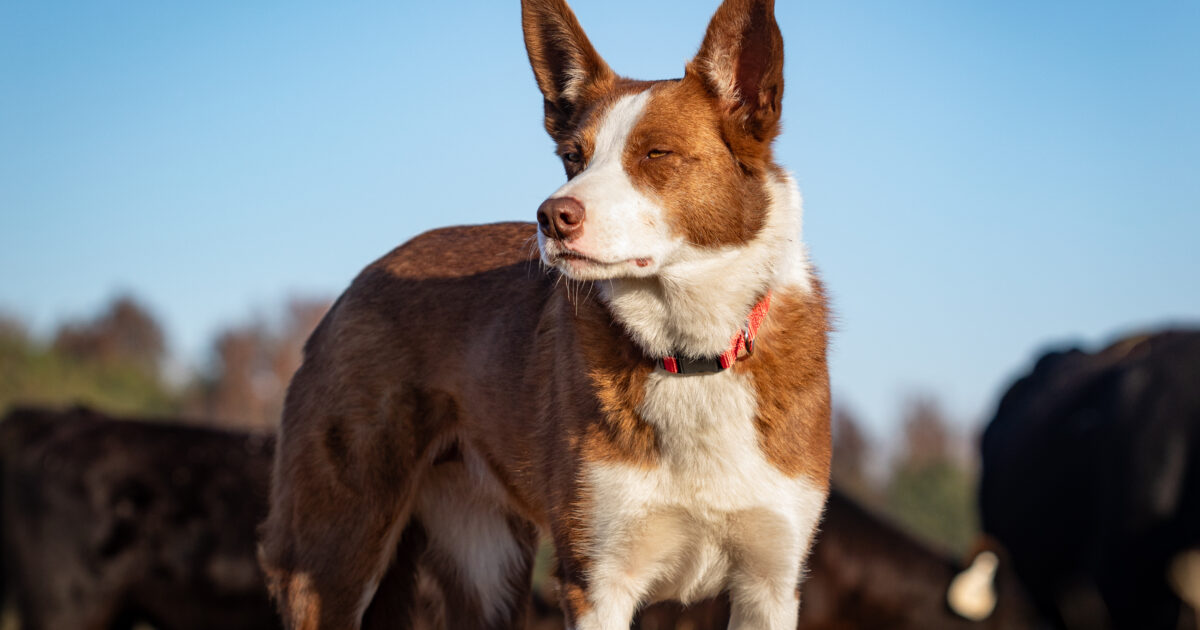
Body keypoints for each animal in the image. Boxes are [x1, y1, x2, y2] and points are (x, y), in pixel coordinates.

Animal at [258, 0, 830, 624]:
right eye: (573, 159)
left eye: (656, 154)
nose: (552, 217)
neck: (690, 352)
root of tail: (357, 284)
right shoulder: (596, 582)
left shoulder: (770, 585)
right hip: (335, 557)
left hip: (487, 568)